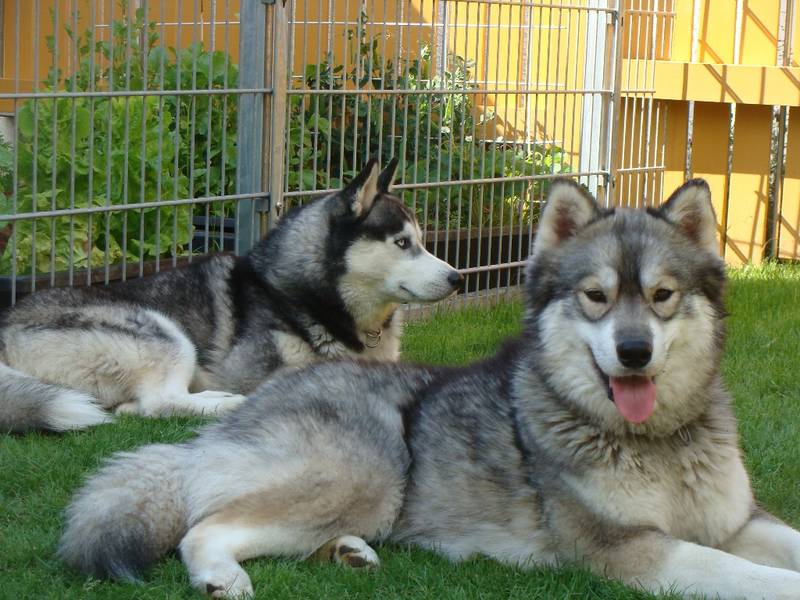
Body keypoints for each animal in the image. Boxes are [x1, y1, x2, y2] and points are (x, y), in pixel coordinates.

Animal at [0, 158, 463, 432]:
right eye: (402, 243)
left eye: (423, 242)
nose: (457, 277)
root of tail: (6, 326)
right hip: (162, 332)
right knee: (160, 402)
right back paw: (225, 404)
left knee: (140, 407)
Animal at [59, 178, 800, 599]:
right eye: (595, 297)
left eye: (663, 295)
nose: (634, 352)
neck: (659, 440)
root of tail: (249, 406)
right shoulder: (626, 548)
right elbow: (754, 577)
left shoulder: (742, 520)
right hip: (369, 469)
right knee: (204, 528)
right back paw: (221, 577)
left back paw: (348, 553)